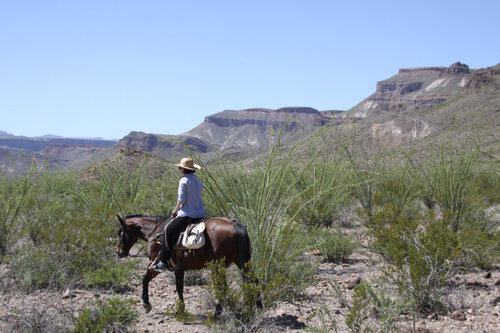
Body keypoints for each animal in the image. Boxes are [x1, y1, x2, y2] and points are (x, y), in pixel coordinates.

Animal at [113, 213, 262, 314]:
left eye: (120, 232)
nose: (118, 251)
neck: (155, 233)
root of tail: (234, 224)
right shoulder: (178, 268)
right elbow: (176, 286)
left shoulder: (158, 265)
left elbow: (147, 280)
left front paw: (147, 304)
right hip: (242, 262)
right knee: (253, 280)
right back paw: (257, 306)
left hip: (218, 265)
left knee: (223, 286)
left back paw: (218, 312)